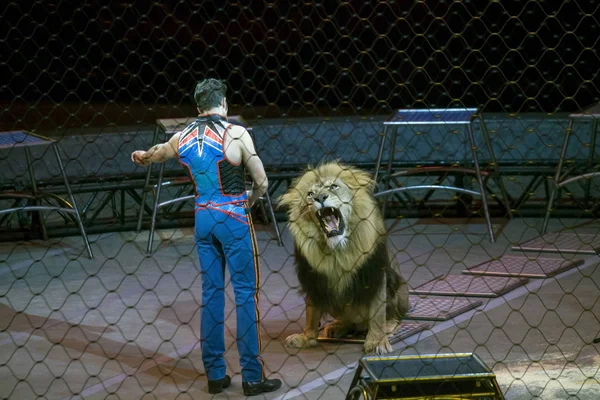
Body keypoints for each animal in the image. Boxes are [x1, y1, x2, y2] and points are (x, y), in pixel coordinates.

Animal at [278, 161, 410, 354]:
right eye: (310, 194)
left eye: (333, 186)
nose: (320, 198)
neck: (337, 249)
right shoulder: (313, 279)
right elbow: (311, 313)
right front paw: (306, 338)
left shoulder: (375, 273)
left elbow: (377, 314)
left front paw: (377, 341)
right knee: (350, 322)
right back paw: (338, 327)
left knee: (392, 318)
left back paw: (387, 327)